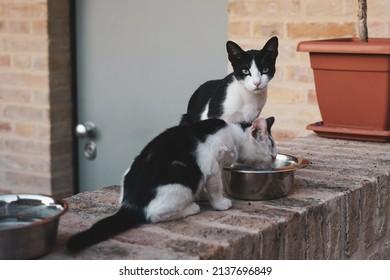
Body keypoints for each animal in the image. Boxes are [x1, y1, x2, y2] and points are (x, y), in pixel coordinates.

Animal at [65, 116, 276, 252]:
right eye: (273, 155)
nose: (274, 163)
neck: (233, 135)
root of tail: (130, 203)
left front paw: (203, 195)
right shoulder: (212, 165)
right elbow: (216, 188)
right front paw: (220, 204)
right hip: (181, 180)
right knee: (154, 215)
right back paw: (191, 207)